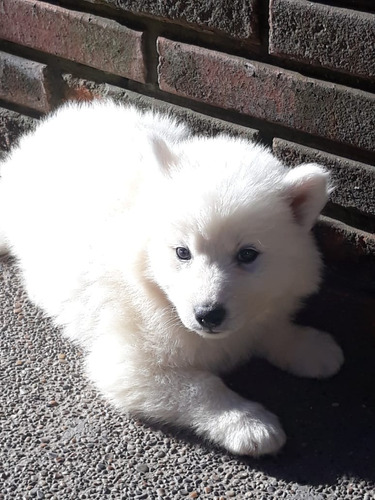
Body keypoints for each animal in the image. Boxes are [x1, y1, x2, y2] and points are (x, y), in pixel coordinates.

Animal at [0, 100, 346, 458]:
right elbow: (200, 386)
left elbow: (265, 325)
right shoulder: (128, 359)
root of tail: (59, 119)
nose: (208, 315)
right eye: (182, 252)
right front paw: (249, 424)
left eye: (247, 254)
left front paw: (309, 346)